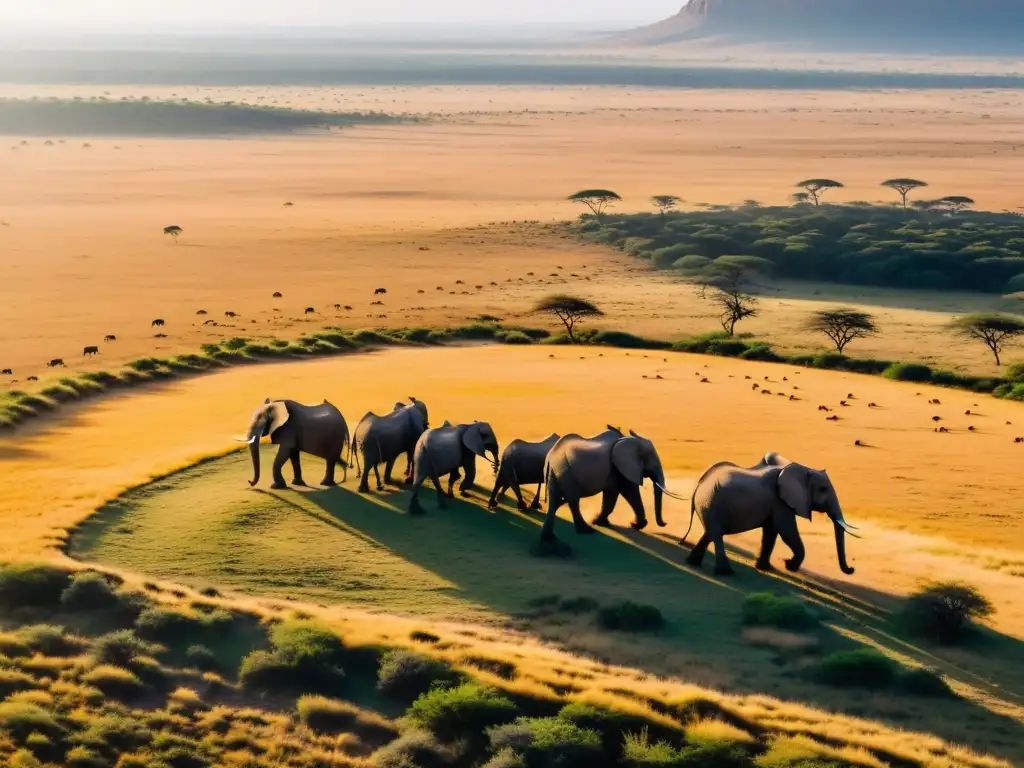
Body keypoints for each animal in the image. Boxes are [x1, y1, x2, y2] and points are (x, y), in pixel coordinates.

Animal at [540, 428, 675, 548]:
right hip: (565, 471)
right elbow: (626, 492)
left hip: (556, 472)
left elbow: (615, 495)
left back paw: (549, 538)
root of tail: (551, 455)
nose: (665, 523)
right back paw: (587, 531)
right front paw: (634, 525)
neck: (630, 440)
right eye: (652, 463)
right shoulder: (619, 469)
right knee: (573, 501)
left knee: (555, 502)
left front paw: (604, 523)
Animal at [684, 456, 860, 577]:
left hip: (709, 506)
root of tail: (699, 484)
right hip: (712, 503)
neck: (803, 468)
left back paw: (693, 562)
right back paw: (726, 572)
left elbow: (771, 533)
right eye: (823, 489)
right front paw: (789, 566)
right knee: (717, 535)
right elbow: (787, 531)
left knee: (710, 533)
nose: (851, 569)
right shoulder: (780, 502)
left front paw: (765, 568)